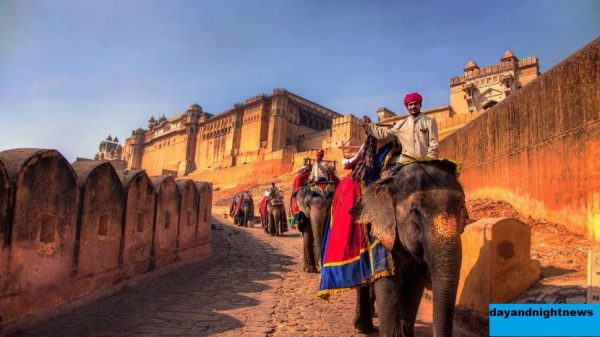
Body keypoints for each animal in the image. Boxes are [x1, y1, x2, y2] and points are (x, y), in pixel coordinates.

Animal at [352, 160, 468, 336]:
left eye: (461, 208)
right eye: (415, 212)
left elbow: (415, 285)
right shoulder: (381, 234)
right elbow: (387, 282)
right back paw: (362, 327)